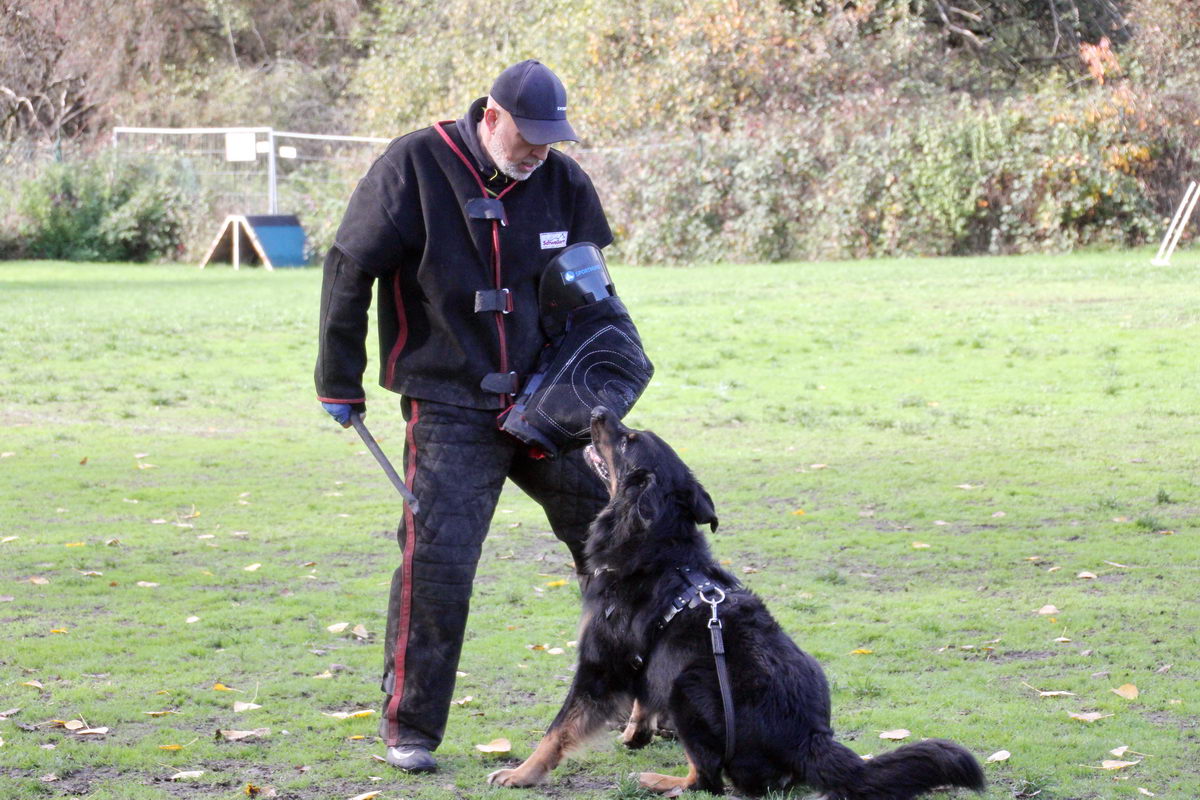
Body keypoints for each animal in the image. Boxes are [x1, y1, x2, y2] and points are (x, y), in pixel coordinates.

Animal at [487, 410, 984, 796]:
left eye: (627, 439)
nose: (598, 410)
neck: (658, 548)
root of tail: (811, 738)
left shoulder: (599, 664)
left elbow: (558, 728)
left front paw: (522, 774)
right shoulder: (643, 660)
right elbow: (642, 696)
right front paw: (636, 731)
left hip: (689, 685)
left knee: (708, 780)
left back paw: (661, 781)